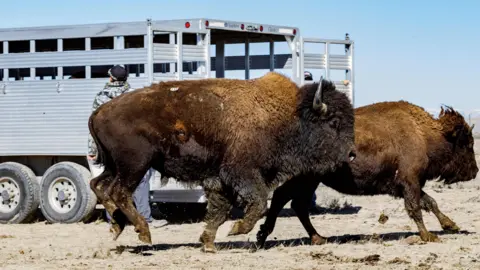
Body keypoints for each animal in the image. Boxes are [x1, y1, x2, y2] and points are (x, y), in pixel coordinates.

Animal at [87, 73, 356, 252]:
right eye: (334, 122)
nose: (352, 154)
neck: (288, 115)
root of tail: (99, 111)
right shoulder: (241, 172)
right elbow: (258, 203)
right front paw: (236, 229)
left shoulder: (220, 179)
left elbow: (219, 210)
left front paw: (208, 243)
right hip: (135, 165)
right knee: (119, 191)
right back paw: (143, 232)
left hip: (115, 165)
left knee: (98, 185)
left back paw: (117, 225)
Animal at [256, 100, 478, 248]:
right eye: (466, 143)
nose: (475, 171)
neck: (424, 134)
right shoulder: (410, 182)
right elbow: (416, 207)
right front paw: (428, 236)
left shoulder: (405, 185)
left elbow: (430, 202)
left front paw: (451, 225)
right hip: (305, 179)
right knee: (287, 199)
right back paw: (265, 237)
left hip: (309, 180)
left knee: (293, 202)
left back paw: (314, 238)